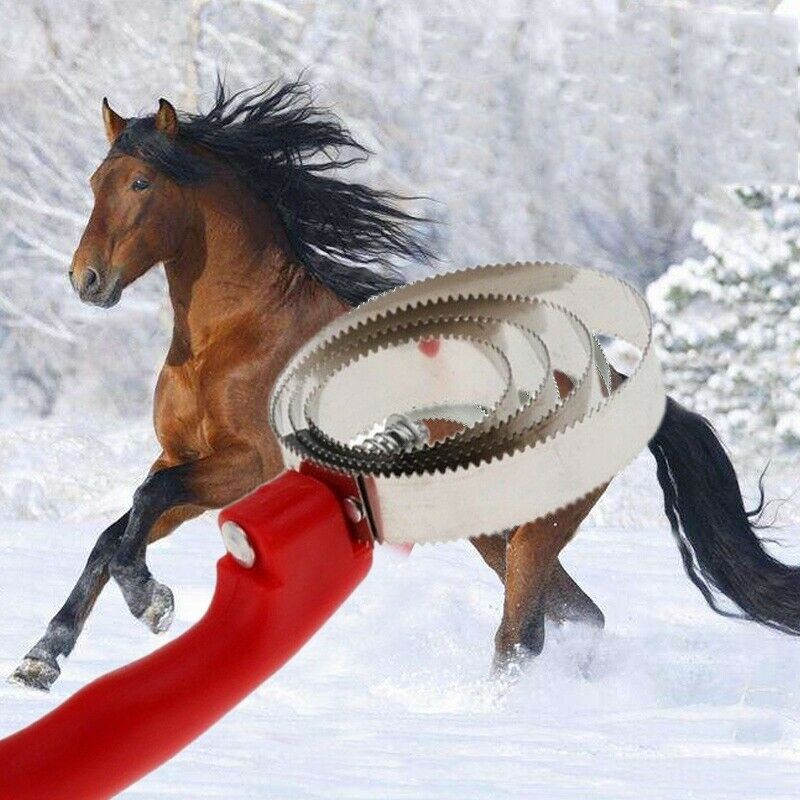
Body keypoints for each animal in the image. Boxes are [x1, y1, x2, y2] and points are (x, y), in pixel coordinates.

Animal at [11, 79, 800, 692]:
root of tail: (613, 382)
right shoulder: (185, 459)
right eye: (94, 183)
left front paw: (152, 602)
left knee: (522, 634)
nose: (86, 280)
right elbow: (116, 530)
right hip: (494, 531)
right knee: (577, 616)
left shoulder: (246, 467)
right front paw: (43, 658)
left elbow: (143, 507)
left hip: (533, 528)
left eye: (141, 183)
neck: (232, 336)